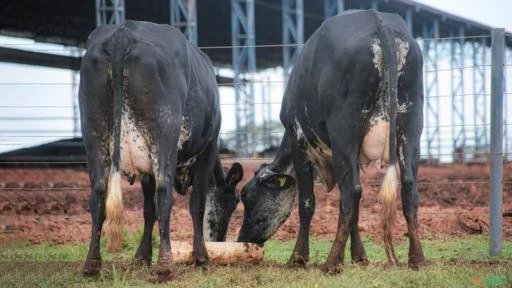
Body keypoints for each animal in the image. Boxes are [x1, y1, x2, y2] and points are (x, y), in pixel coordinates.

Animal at [79, 20, 243, 280]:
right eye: (233, 201)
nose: (220, 239)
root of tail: (123, 33)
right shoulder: (207, 150)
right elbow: (196, 204)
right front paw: (202, 257)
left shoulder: (145, 166)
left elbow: (148, 209)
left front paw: (142, 256)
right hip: (163, 135)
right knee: (165, 193)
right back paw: (166, 264)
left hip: (94, 136)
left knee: (98, 194)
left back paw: (92, 264)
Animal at [238, 9, 426, 272]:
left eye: (246, 195)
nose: (241, 240)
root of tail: (377, 19)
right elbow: (354, 210)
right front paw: (359, 256)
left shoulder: (300, 143)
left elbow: (307, 203)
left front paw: (298, 257)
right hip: (411, 124)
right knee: (407, 188)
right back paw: (417, 258)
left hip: (344, 131)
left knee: (351, 191)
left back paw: (332, 261)